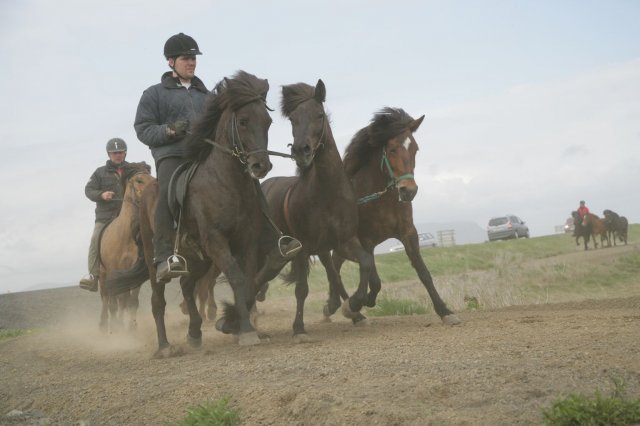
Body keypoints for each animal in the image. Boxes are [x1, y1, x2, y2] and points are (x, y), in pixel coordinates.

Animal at [141, 71, 274, 358]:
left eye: (268, 121)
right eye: (243, 121)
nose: (261, 165)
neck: (226, 182)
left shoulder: (246, 240)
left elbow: (248, 280)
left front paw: (232, 324)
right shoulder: (216, 240)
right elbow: (236, 277)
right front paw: (246, 331)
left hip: (198, 257)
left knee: (187, 286)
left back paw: (194, 333)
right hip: (154, 259)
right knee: (158, 300)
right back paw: (165, 346)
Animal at [255, 78, 378, 342]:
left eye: (319, 115)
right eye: (293, 119)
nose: (301, 150)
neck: (326, 194)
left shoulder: (343, 241)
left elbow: (363, 262)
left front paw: (355, 306)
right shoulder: (303, 247)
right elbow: (302, 289)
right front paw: (299, 329)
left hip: (319, 250)